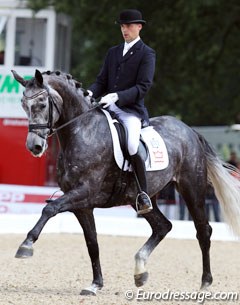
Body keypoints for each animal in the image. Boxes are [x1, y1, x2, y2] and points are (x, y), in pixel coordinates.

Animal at [12, 69, 240, 294]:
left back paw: (205, 282)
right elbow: (92, 243)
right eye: (23, 105)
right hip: (141, 197)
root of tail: (190, 131)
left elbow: (50, 209)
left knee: (203, 231)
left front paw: (26, 245)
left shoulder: (84, 191)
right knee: (162, 226)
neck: (82, 131)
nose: (34, 146)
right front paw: (96, 284)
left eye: (42, 103)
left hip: (192, 189)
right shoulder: (82, 205)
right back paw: (140, 271)